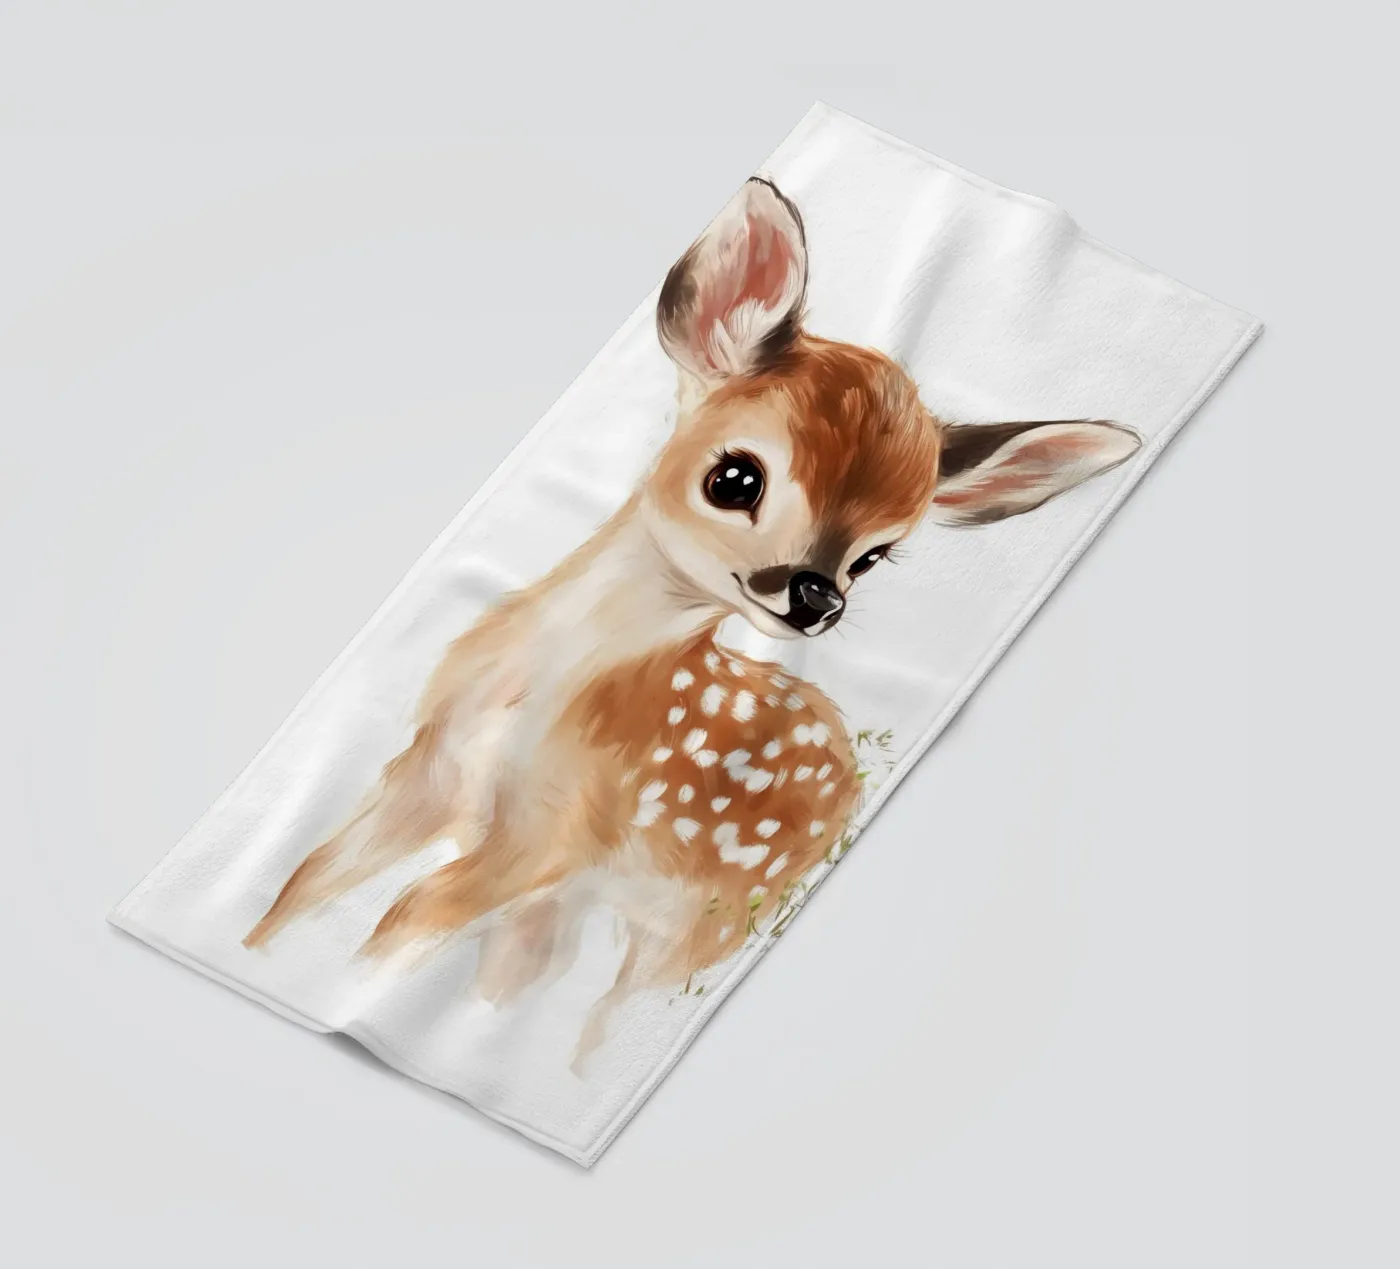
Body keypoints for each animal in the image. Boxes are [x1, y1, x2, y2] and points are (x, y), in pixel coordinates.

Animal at [243, 177, 1140, 1060]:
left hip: (706, 921)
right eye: (735, 477)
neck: (538, 694)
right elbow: (306, 882)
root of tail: (849, 770)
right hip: (587, 900)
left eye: (877, 556)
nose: (817, 595)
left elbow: (393, 925)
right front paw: (261, 952)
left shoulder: (550, 836)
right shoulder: (430, 775)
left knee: (601, 1018)